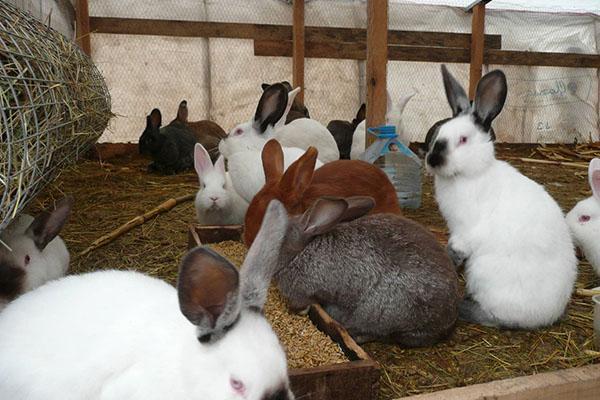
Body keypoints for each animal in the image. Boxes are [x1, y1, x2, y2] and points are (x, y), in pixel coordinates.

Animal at [251, 198, 458, 346]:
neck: (301, 251)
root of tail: (448, 321)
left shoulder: (300, 290)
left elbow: (302, 303)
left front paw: (300, 311)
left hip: (381, 311)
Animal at [424, 64, 580, 330]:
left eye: (463, 140)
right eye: (438, 133)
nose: (433, 160)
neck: (470, 174)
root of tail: (547, 316)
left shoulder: (465, 232)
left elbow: (456, 250)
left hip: (484, 275)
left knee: (496, 317)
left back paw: (466, 307)